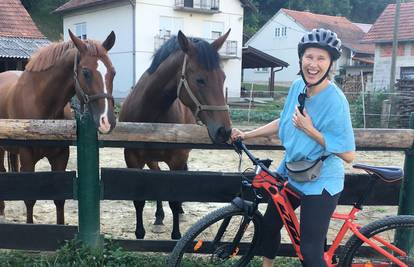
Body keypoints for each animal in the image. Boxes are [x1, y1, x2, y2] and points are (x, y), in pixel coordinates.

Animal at [0, 29, 117, 224]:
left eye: (113, 72)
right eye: (86, 72)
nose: (107, 121)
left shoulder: (60, 157)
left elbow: (60, 200)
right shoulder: (27, 158)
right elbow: (29, 200)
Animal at [119, 29, 233, 241]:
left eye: (222, 77)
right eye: (200, 79)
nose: (225, 131)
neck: (150, 116)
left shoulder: (177, 158)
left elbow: (174, 195)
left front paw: (177, 234)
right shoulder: (132, 159)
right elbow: (139, 199)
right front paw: (140, 233)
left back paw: (178, 212)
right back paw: (158, 217)